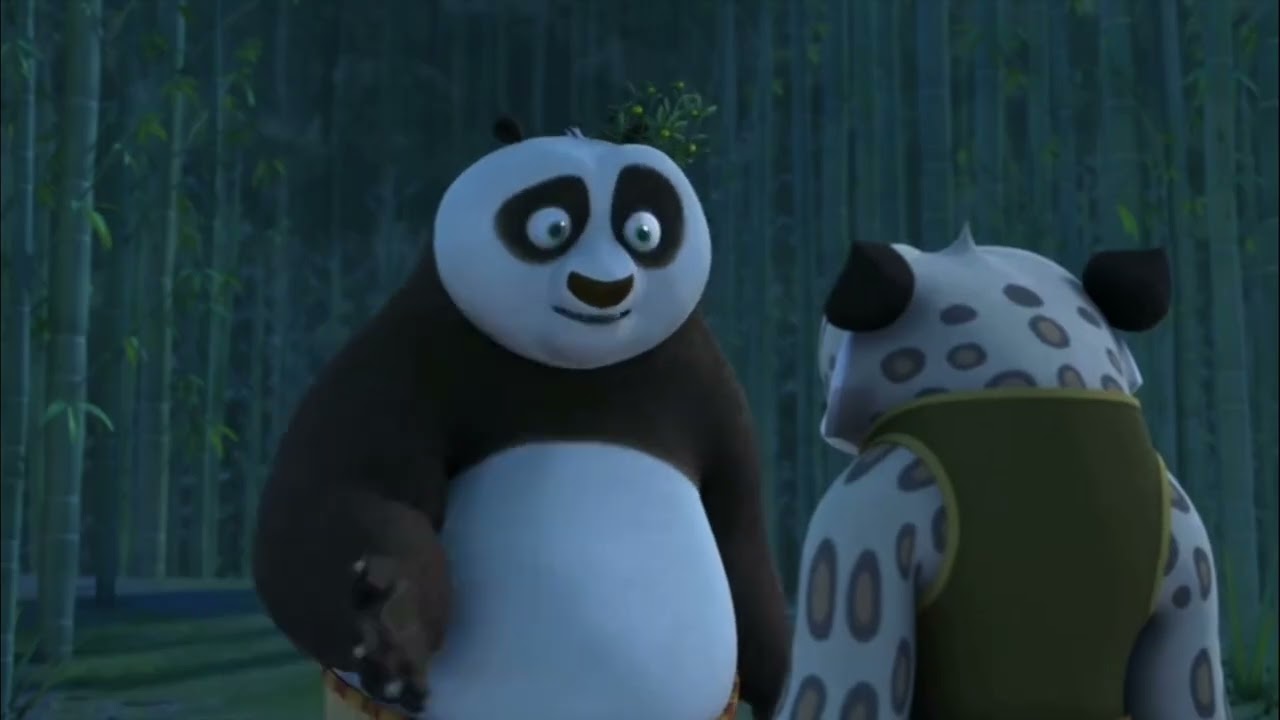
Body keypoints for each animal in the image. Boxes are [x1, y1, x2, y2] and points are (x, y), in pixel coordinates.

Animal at [252, 118, 790, 720]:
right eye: (552, 227)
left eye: (645, 231)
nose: (603, 288)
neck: (580, 366)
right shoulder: (407, 352)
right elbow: (331, 494)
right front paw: (392, 625)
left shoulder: (701, 379)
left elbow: (740, 527)